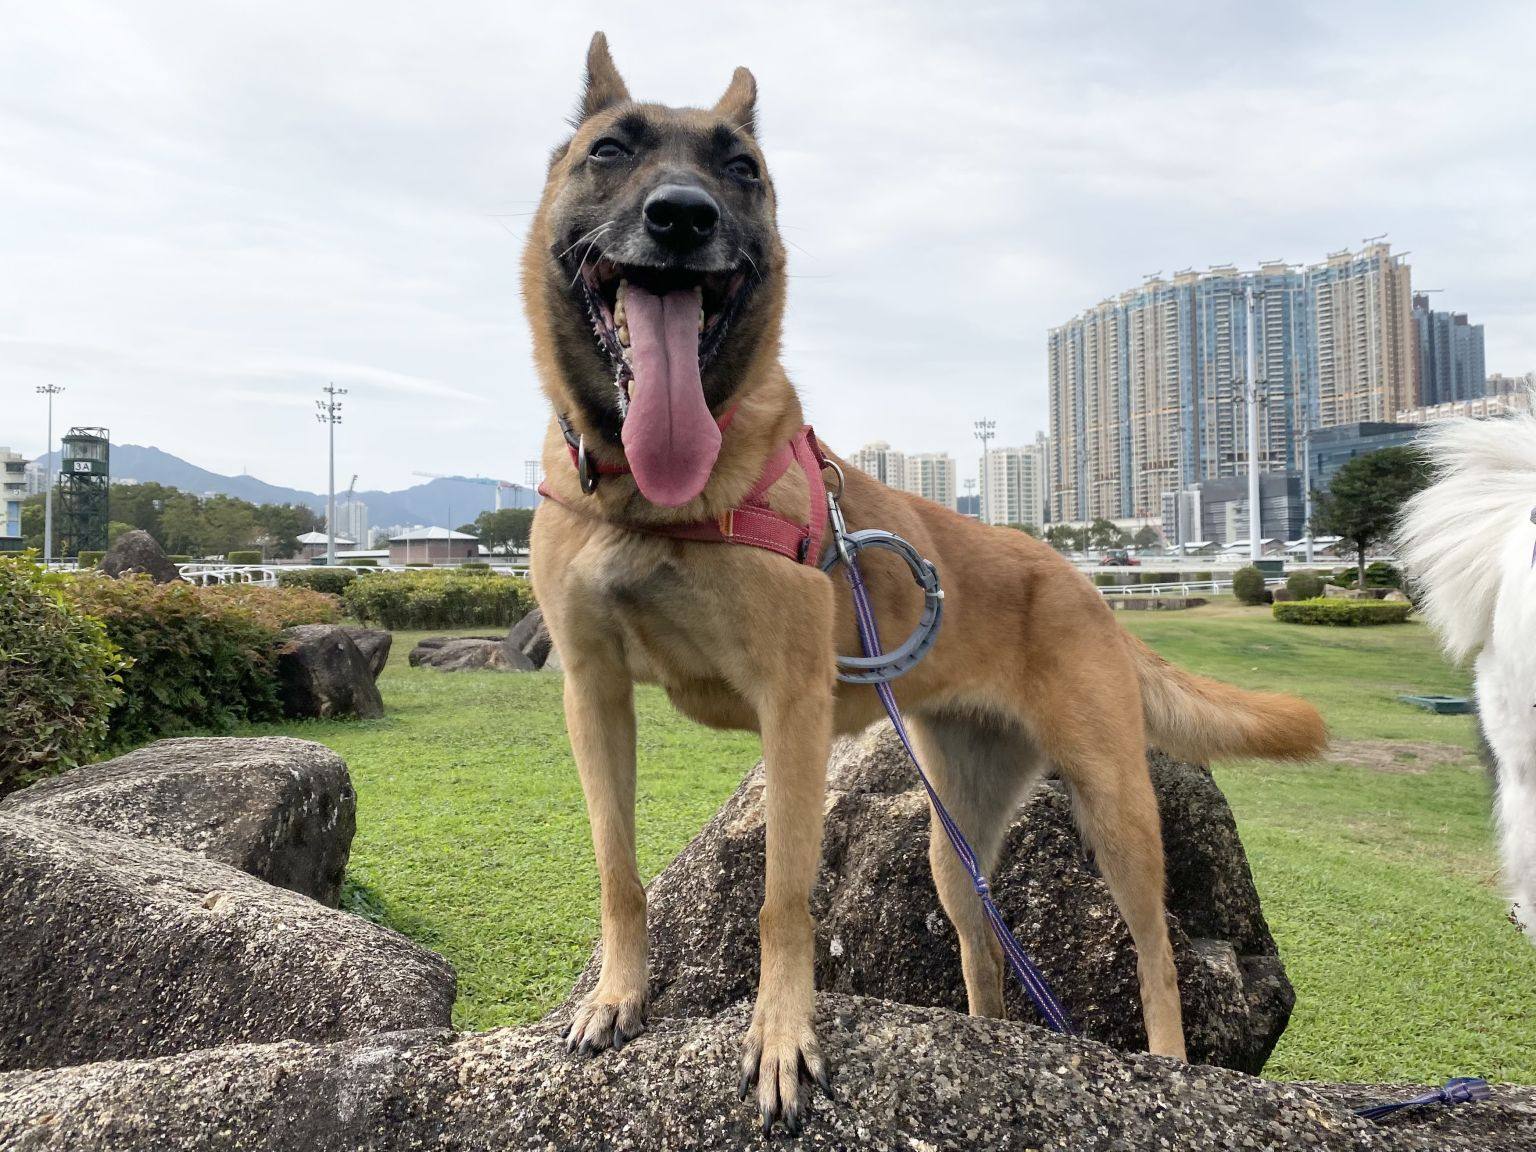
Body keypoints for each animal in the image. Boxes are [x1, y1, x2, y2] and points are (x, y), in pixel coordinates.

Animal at [525, 33, 1320, 1136]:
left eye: (742, 169)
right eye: (610, 149)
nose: (682, 217)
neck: (655, 496)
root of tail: (1078, 580)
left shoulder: (793, 709)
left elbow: (782, 899)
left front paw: (781, 1037)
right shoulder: (593, 691)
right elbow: (616, 870)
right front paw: (616, 996)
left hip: (1117, 808)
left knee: (1159, 959)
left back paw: (1167, 1068)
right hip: (955, 845)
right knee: (986, 961)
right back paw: (985, 1044)